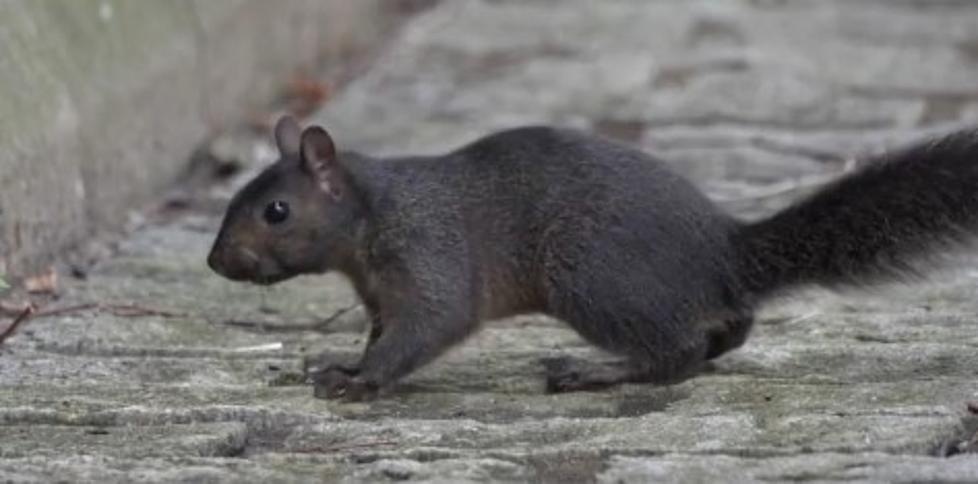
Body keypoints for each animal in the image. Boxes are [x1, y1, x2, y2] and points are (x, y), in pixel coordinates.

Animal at [210, 115, 976, 398]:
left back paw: (597, 372)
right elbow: (382, 334)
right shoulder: (378, 294)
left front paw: (360, 382)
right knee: (729, 327)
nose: (217, 263)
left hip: (592, 277)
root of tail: (722, 249)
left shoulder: (430, 252)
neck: (373, 213)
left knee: (675, 354)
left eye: (276, 211)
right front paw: (338, 362)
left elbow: (431, 324)